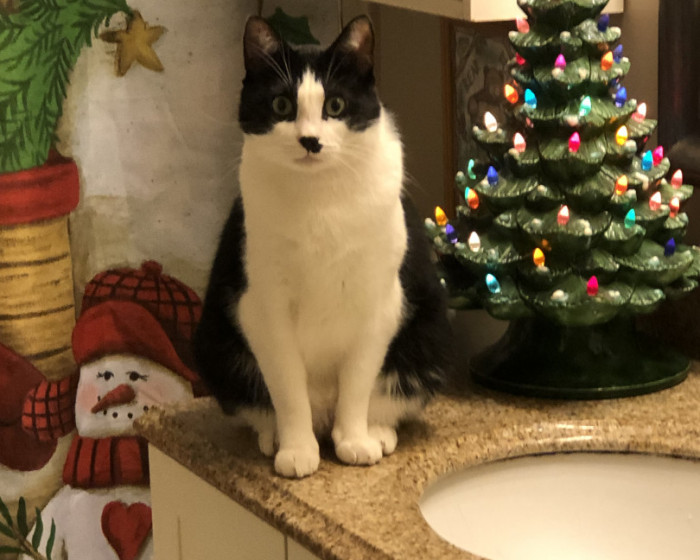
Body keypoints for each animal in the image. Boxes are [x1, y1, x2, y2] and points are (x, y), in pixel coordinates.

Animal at [194, 15, 453, 478]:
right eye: (281, 106)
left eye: (335, 106)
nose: (310, 140)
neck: (320, 201)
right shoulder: (264, 307)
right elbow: (287, 388)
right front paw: (297, 450)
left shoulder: (380, 303)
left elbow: (358, 382)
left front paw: (354, 440)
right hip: (215, 344)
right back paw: (276, 436)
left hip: (431, 336)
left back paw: (375, 432)